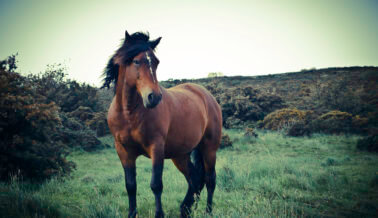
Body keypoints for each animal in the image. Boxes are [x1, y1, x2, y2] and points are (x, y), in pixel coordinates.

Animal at [102, 31, 223, 218]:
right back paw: (185, 209)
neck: (129, 114)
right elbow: (130, 186)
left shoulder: (156, 148)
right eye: (136, 61)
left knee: (210, 180)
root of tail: (207, 95)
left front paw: (159, 214)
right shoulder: (123, 151)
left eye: (156, 62)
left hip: (209, 148)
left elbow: (156, 185)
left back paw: (208, 211)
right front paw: (131, 214)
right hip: (180, 154)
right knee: (194, 179)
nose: (154, 97)